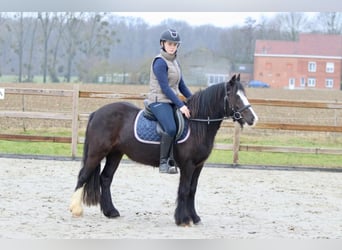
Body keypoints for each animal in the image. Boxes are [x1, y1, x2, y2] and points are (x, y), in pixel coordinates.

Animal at [70, 73, 256, 225]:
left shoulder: (198, 165)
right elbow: (184, 190)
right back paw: (75, 209)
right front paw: (183, 219)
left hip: (115, 154)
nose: (253, 118)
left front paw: (194, 218)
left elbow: (192, 190)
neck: (197, 124)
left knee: (106, 178)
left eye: (245, 94)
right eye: (234, 96)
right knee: (83, 176)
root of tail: (97, 113)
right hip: (97, 153)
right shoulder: (188, 165)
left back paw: (111, 212)